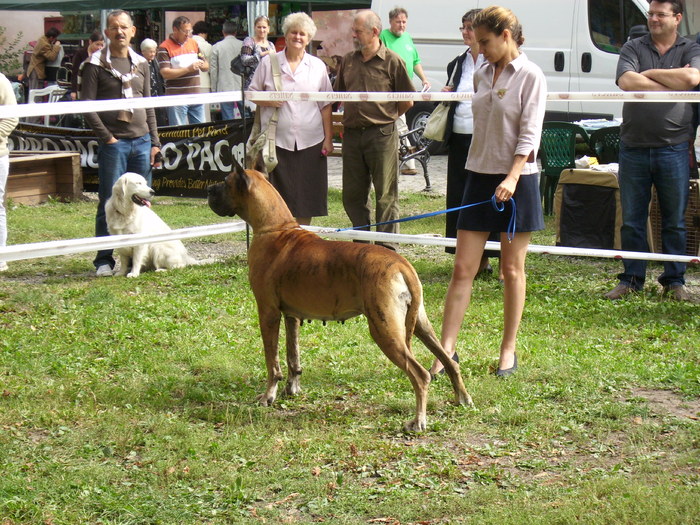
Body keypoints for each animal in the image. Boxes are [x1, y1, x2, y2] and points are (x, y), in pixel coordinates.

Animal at [206, 163, 470, 430]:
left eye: (225, 182)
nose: (208, 190)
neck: (275, 227)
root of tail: (401, 264)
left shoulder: (268, 313)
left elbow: (273, 360)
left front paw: (268, 395)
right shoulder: (292, 316)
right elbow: (293, 356)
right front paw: (292, 389)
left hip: (384, 329)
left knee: (421, 374)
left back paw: (418, 421)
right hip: (420, 325)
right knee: (450, 362)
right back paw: (463, 399)